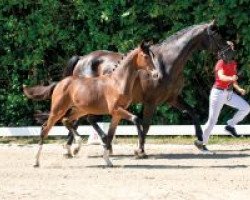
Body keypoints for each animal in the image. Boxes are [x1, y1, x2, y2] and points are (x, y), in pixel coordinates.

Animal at [23, 21, 232, 157]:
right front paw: (140, 150)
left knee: (78, 120)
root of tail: (82, 59)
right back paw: (96, 144)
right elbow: (146, 125)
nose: (230, 52)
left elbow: (193, 113)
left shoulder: (172, 98)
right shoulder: (151, 102)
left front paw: (200, 143)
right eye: (216, 35)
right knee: (84, 119)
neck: (166, 63)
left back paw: (75, 147)